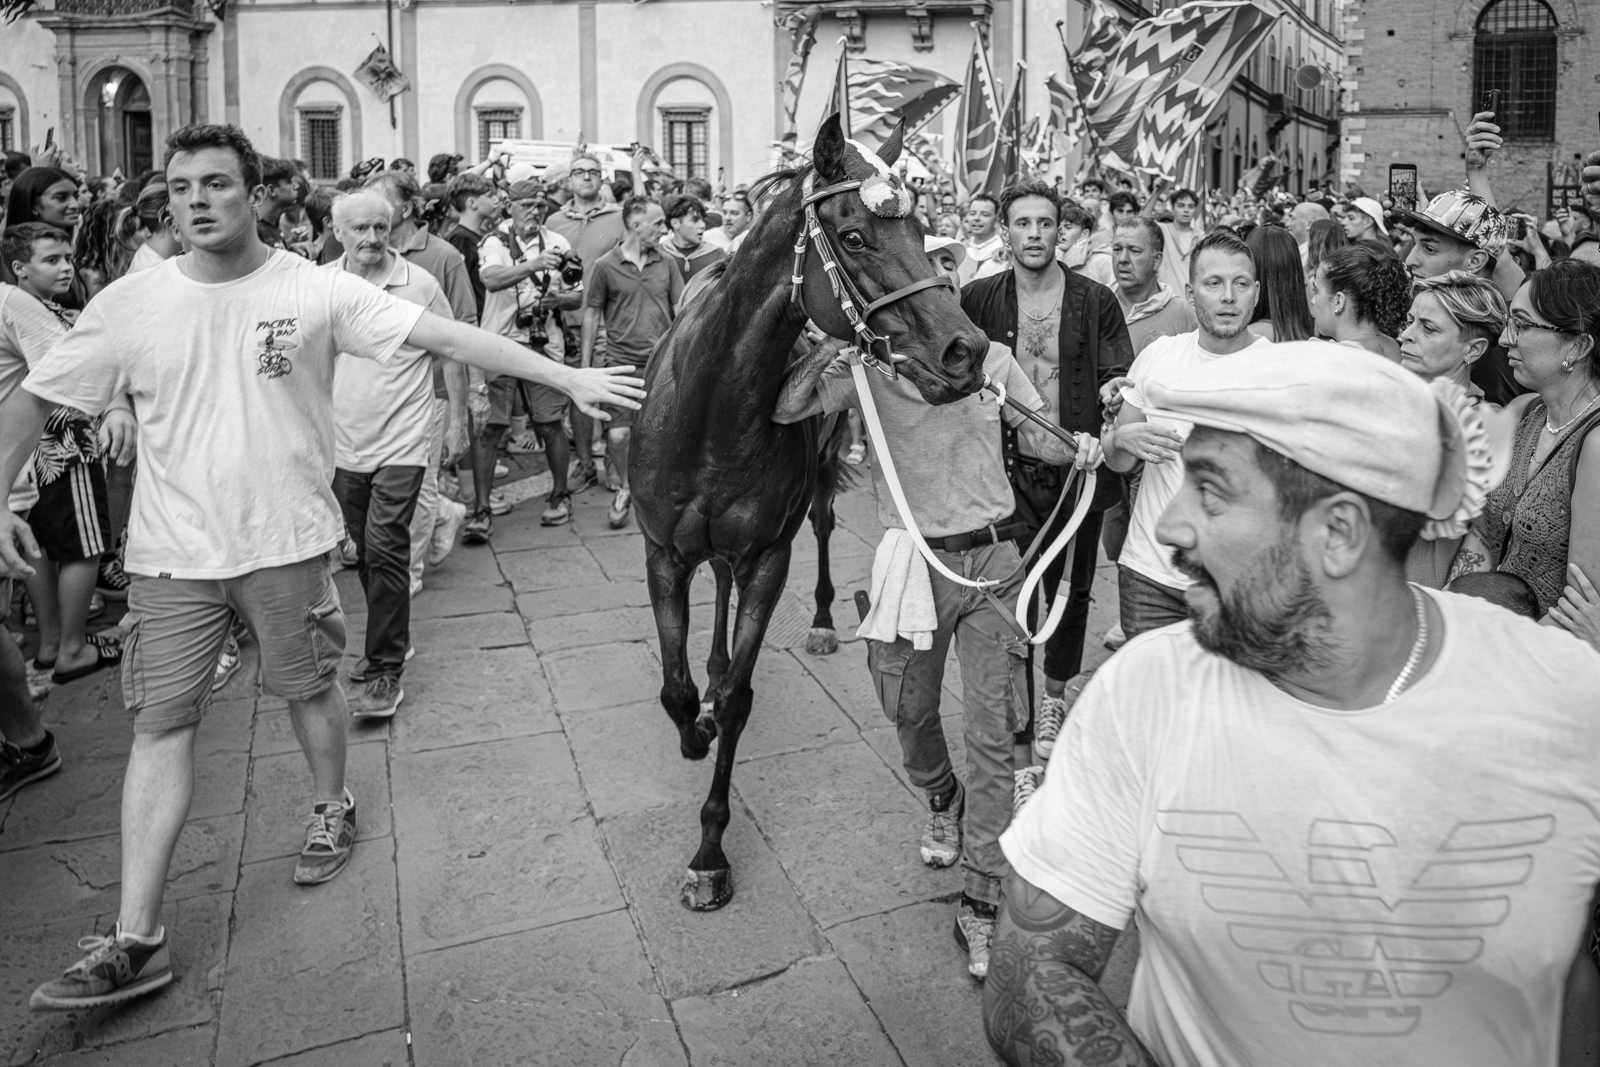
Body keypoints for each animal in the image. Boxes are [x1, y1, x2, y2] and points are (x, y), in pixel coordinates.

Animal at [630, 114, 991, 911]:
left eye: (920, 228)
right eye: (854, 235)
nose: (967, 350)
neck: (712, 410)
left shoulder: (770, 554)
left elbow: (738, 696)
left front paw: (710, 850)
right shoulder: (663, 552)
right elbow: (675, 690)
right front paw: (694, 729)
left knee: (818, 531)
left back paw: (823, 622)